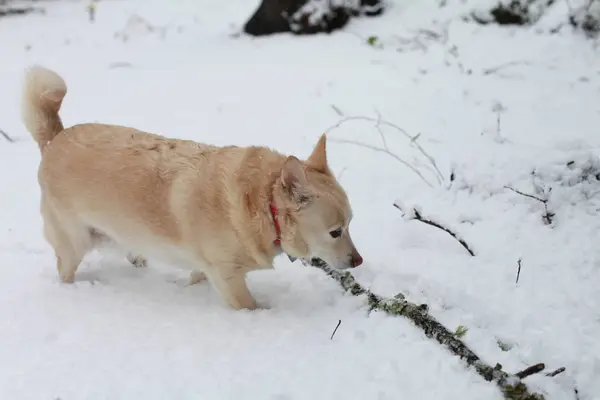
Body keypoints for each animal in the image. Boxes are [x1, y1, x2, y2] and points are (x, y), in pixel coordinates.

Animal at [21, 65, 364, 310]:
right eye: (336, 232)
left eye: (351, 224)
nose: (358, 262)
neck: (262, 204)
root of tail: (56, 138)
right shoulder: (228, 277)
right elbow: (250, 307)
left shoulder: (207, 268)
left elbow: (195, 277)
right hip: (74, 243)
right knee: (64, 269)